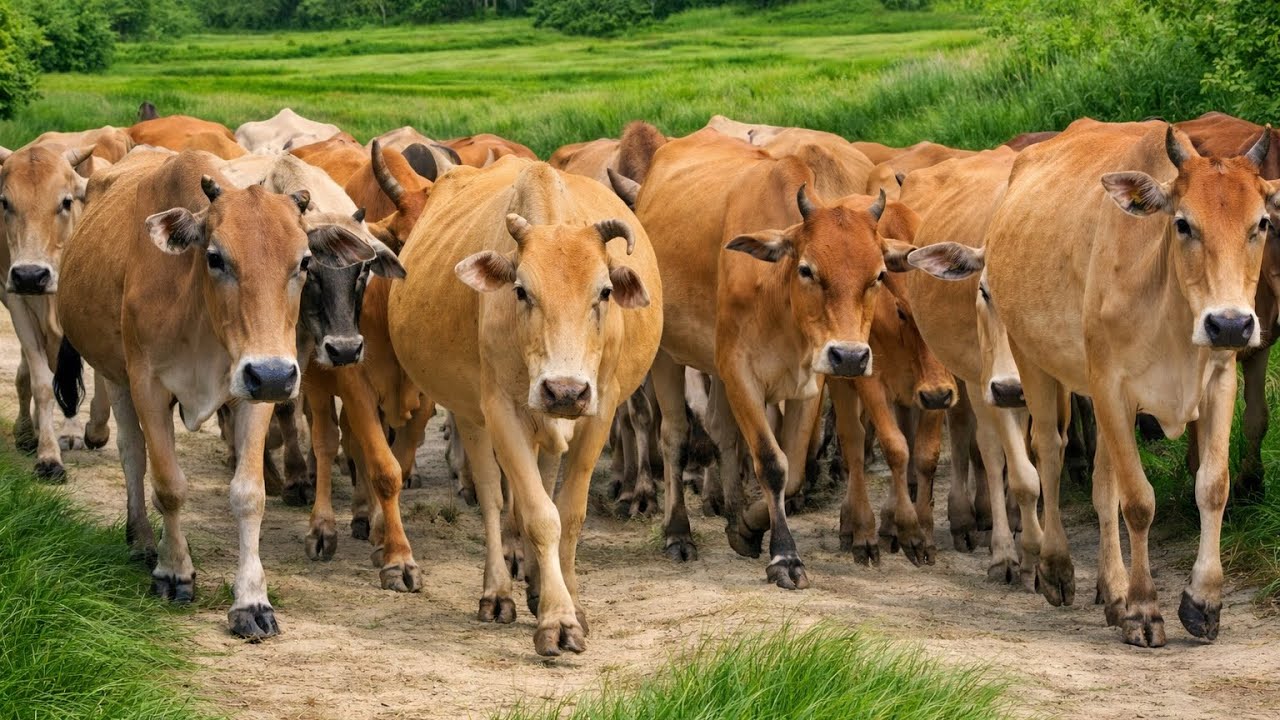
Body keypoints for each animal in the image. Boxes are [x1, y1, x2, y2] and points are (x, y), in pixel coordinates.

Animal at [0, 143, 111, 480]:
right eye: (5, 202)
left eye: (65, 201)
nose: (30, 275)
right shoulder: (18, 302)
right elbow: (42, 383)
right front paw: (48, 457)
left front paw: (96, 430)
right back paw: (30, 431)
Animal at [54, 149, 375, 638]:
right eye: (215, 256)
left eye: (304, 262)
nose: (274, 374)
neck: (198, 314)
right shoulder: (148, 386)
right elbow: (168, 486)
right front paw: (174, 573)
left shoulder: (255, 388)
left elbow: (249, 495)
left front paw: (252, 601)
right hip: (114, 376)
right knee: (132, 455)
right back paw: (141, 540)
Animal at [387, 157, 662, 656]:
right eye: (520, 290)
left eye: (604, 292)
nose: (565, 390)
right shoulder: (502, 412)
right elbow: (537, 515)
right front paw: (558, 620)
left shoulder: (600, 408)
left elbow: (568, 513)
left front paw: (570, 602)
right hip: (471, 414)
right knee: (493, 499)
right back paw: (498, 592)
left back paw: (535, 583)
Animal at [629, 128, 919, 587]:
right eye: (807, 269)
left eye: (877, 276)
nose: (850, 357)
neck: (780, 300)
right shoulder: (739, 371)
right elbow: (770, 461)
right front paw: (784, 555)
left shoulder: (809, 382)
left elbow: (794, 467)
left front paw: (747, 526)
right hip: (666, 355)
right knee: (674, 436)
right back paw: (678, 534)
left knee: (720, 429)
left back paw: (731, 512)